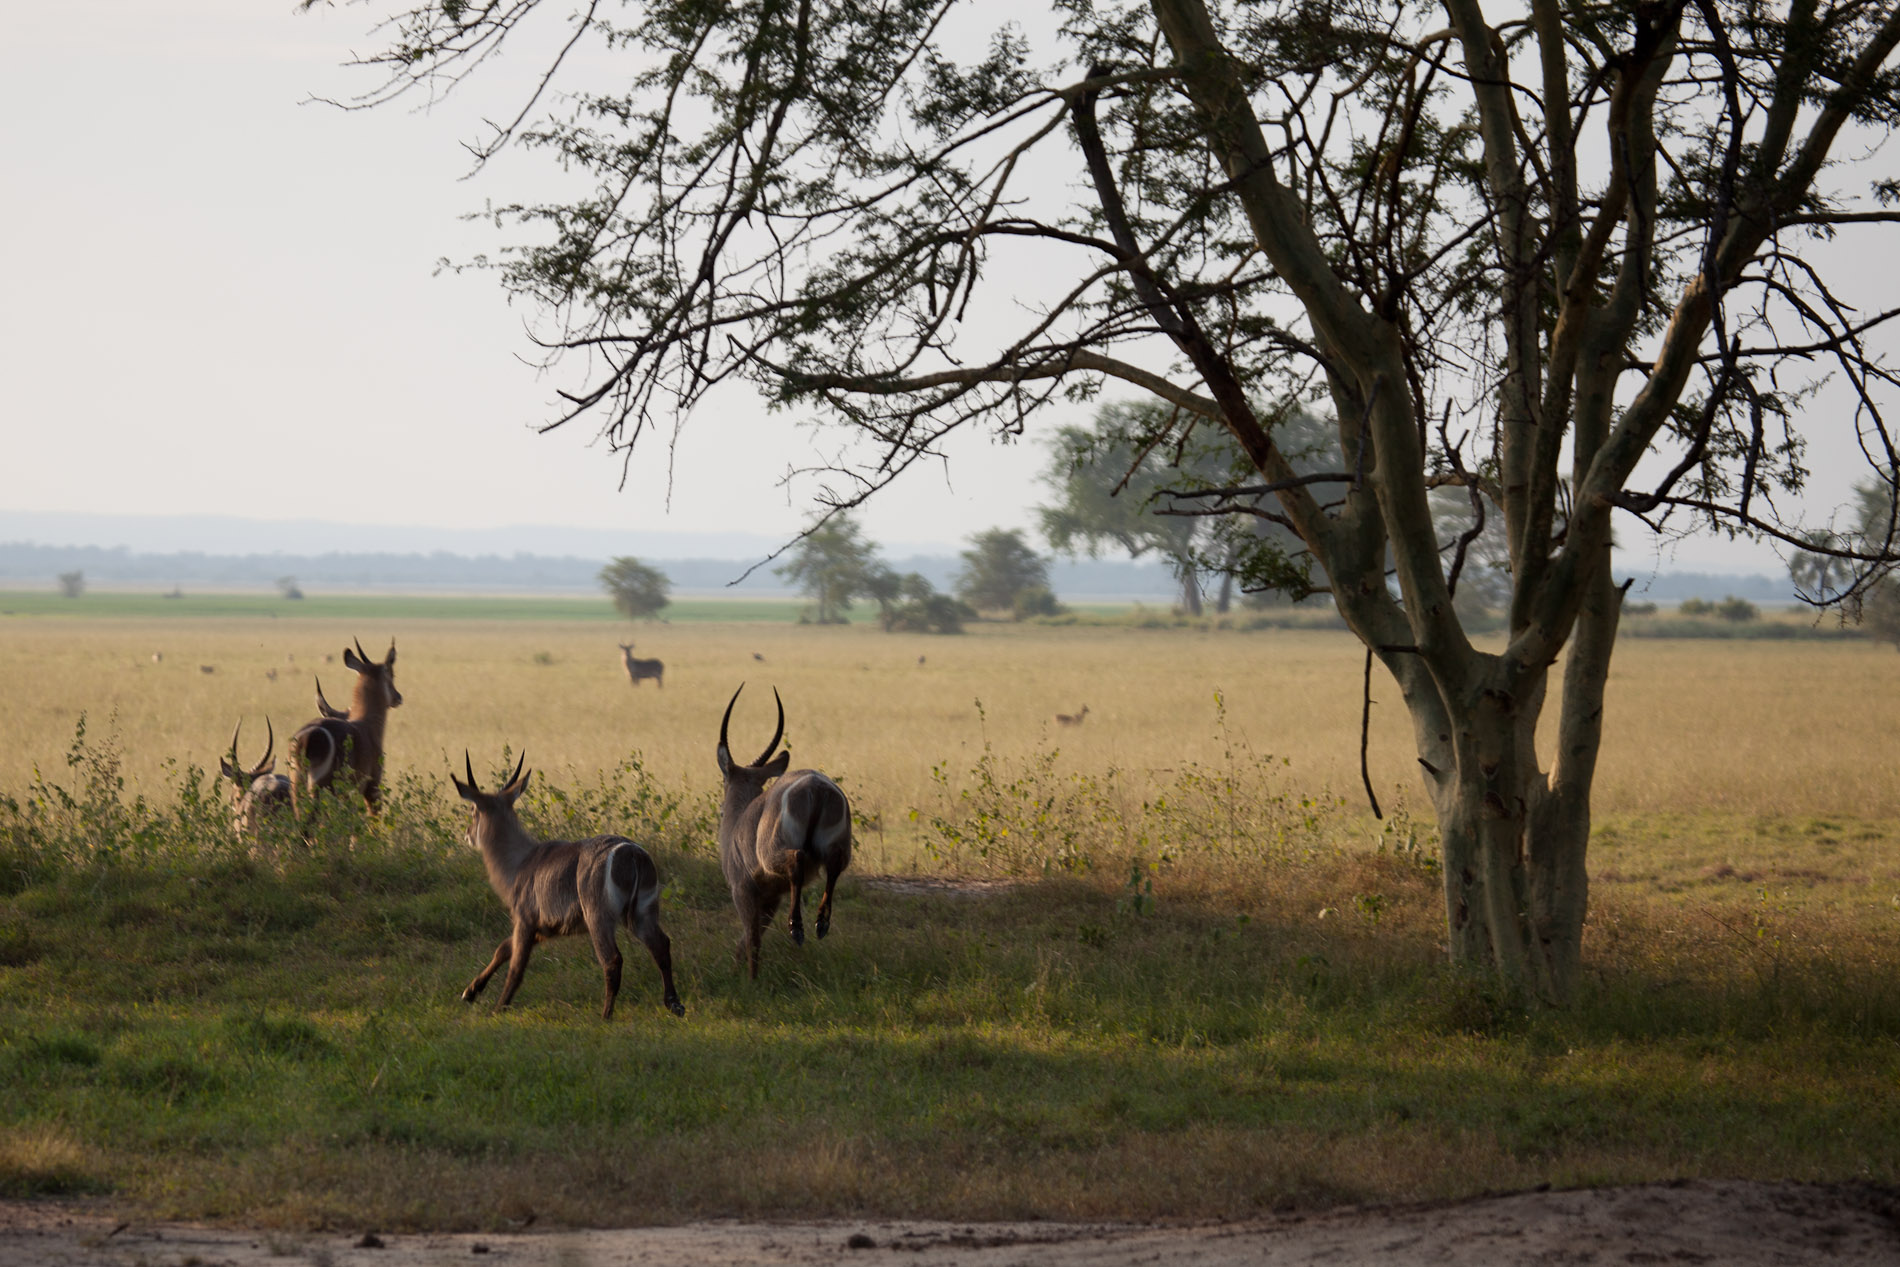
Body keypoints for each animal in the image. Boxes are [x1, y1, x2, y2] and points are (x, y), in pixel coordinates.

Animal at [288, 634, 400, 824]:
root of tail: (306, 739)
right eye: (391, 675)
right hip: (323, 789)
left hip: (297, 787)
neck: (367, 724)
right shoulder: (372, 786)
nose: (398, 697)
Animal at [452, 752, 684, 1018]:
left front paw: (499, 1007)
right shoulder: (543, 929)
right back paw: (674, 1004)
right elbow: (503, 948)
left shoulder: (525, 919)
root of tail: (633, 853)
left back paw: (605, 1016)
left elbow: (516, 968)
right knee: (661, 945)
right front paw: (470, 992)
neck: (520, 862)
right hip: (642, 912)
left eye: (473, 810)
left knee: (613, 960)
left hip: (599, 916)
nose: (467, 833)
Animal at [718, 683, 855, 980]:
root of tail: (817, 786)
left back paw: (797, 929)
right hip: (840, 848)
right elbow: (748, 939)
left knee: (797, 859)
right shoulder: (771, 899)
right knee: (834, 865)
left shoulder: (744, 891)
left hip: (773, 853)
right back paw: (820, 924)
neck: (737, 823)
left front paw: (751, 980)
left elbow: (752, 938)